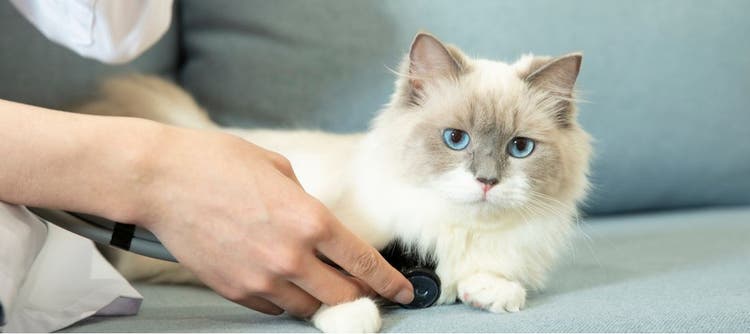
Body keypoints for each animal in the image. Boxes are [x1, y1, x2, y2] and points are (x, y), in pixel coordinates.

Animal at [78, 32, 592, 332]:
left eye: (519, 148)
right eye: (455, 139)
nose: (486, 181)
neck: (456, 231)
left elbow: (494, 277)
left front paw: (492, 294)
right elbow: (335, 289)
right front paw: (354, 316)